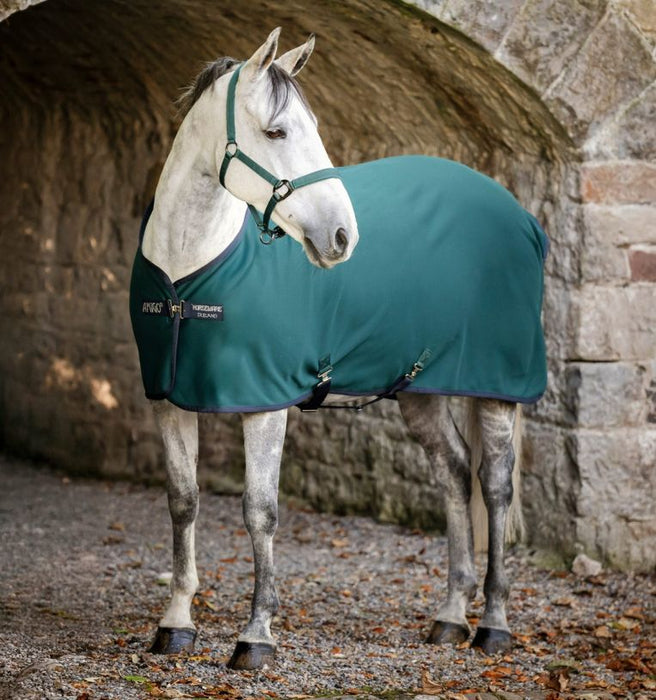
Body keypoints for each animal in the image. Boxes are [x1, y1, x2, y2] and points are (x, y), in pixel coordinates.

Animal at [130, 28, 548, 671]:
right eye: (277, 132)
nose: (342, 237)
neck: (189, 271)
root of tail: (520, 216)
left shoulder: (264, 404)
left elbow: (260, 511)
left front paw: (256, 635)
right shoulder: (169, 399)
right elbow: (183, 502)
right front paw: (175, 623)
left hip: (497, 389)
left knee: (494, 486)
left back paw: (494, 625)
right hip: (420, 389)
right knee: (454, 473)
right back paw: (450, 616)